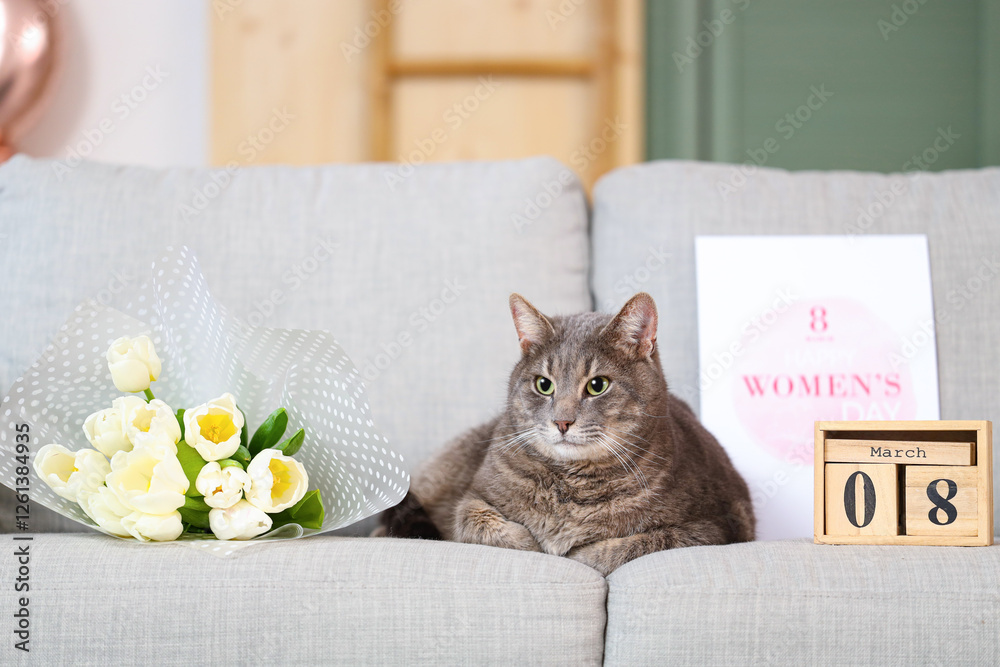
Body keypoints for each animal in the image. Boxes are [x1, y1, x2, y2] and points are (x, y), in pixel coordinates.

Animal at [378, 294, 752, 576]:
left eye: (597, 385)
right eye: (544, 385)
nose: (562, 422)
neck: (569, 485)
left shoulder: (712, 527)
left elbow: (623, 547)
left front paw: (570, 550)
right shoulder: (471, 499)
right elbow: (489, 528)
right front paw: (534, 544)